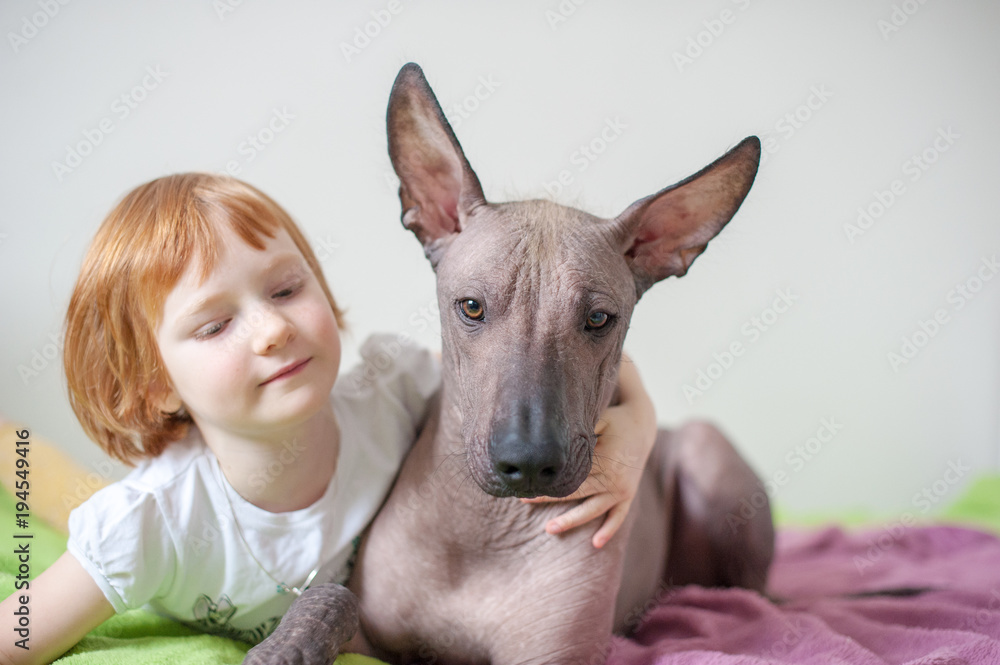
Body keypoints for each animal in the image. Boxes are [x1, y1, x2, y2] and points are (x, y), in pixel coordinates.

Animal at [246, 62, 776, 664]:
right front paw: (285, 646)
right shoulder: (371, 640)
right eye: (471, 307)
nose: (528, 463)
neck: (486, 531)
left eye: (599, 318)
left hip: (709, 453)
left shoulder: (554, 657)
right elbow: (333, 599)